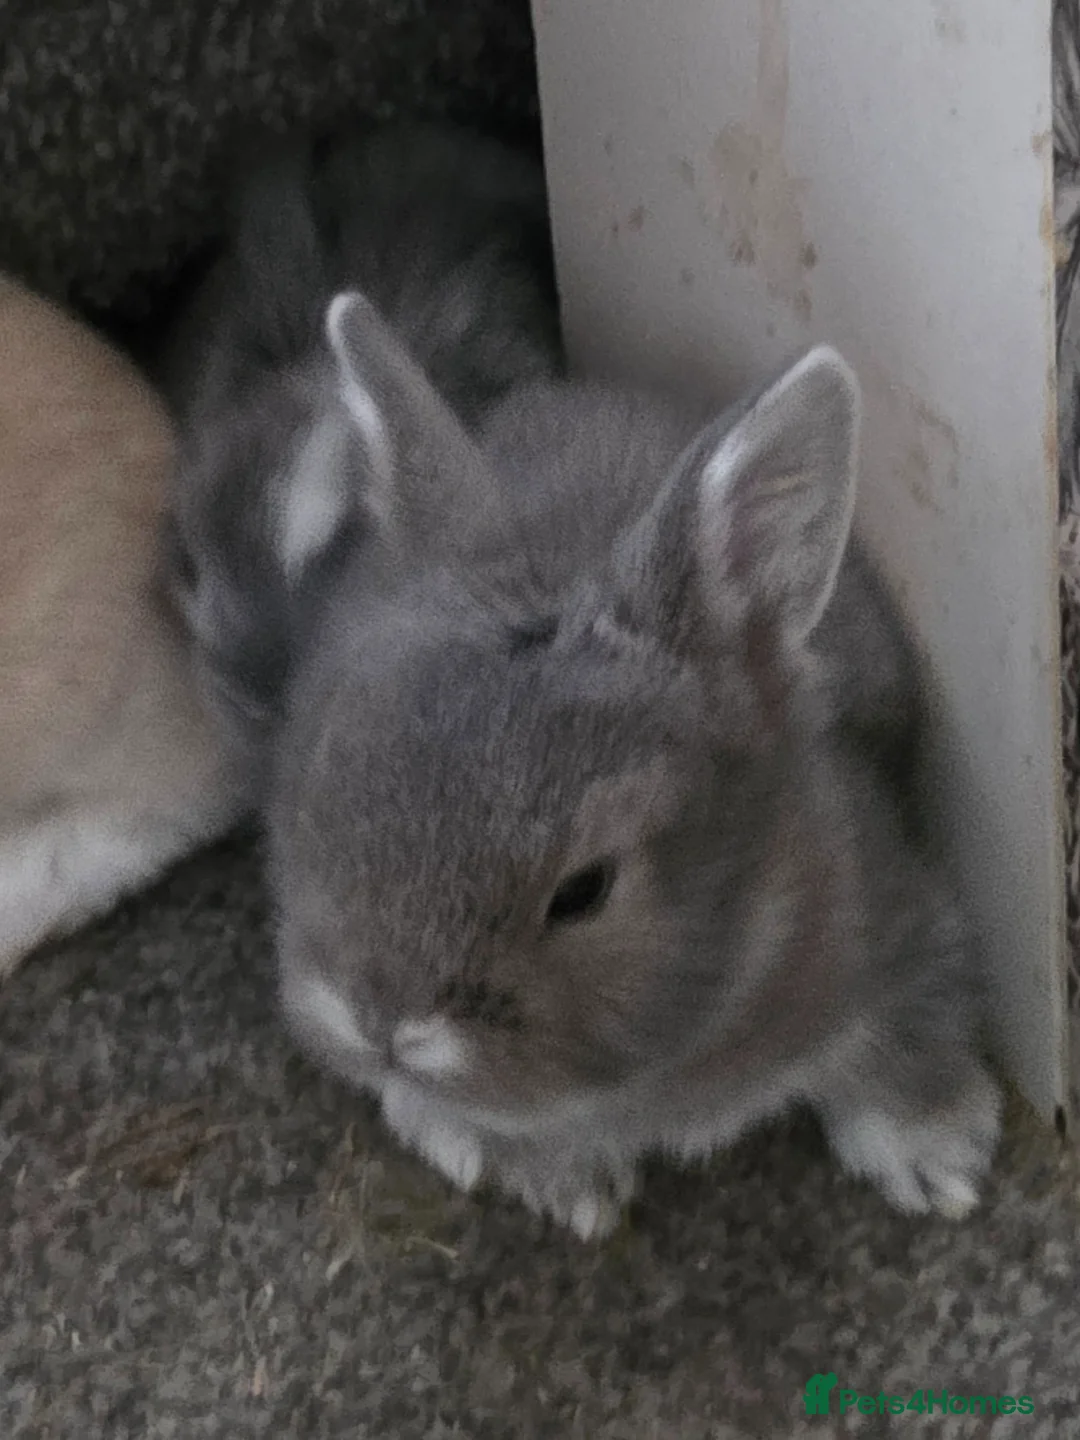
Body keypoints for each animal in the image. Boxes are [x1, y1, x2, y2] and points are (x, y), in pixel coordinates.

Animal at [267, 291, 1000, 1241]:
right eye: (323, 792)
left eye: (585, 890)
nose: (382, 1022)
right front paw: (570, 1192)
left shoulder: (902, 924)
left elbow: (906, 1041)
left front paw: (939, 1164)